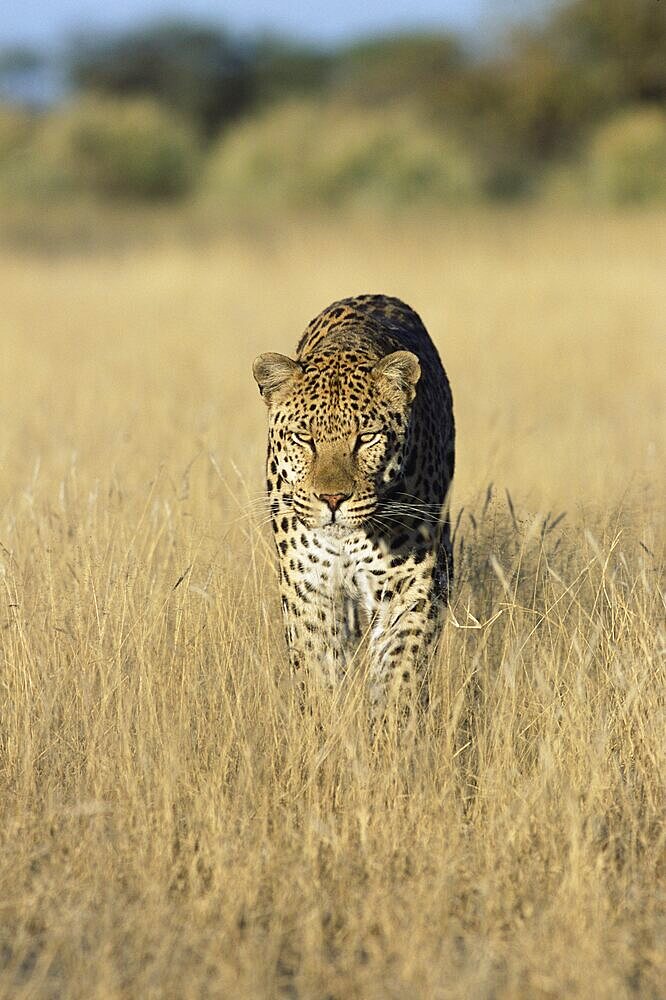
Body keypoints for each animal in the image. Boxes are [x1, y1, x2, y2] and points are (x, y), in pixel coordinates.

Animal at [252, 292, 454, 720]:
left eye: (366, 437)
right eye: (303, 438)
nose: (333, 499)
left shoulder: (409, 584)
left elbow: (398, 673)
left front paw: (391, 734)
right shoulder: (309, 587)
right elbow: (318, 674)